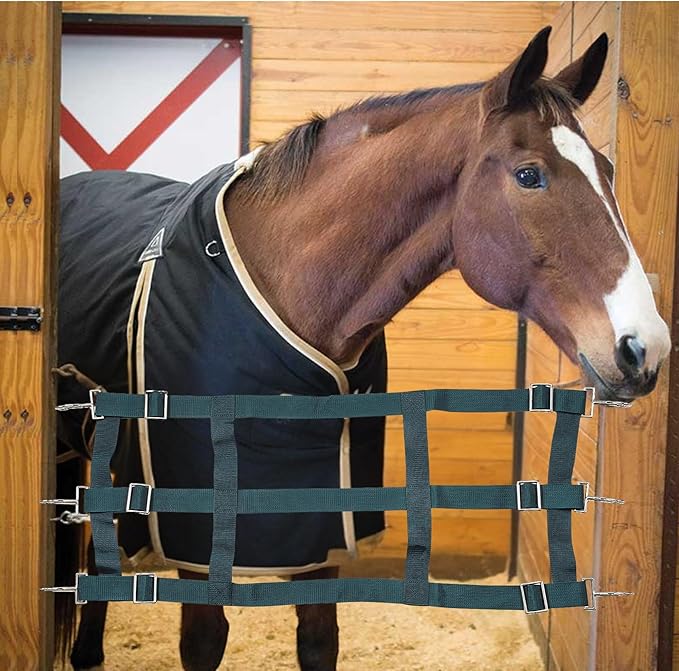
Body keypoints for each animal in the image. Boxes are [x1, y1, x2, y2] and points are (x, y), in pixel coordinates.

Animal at [54, 26, 670, 671]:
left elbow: (319, 640)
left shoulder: (319, 522)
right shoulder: (195, 535)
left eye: (606, 168)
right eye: (530, 175)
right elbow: (203, 642)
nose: (645, 347)